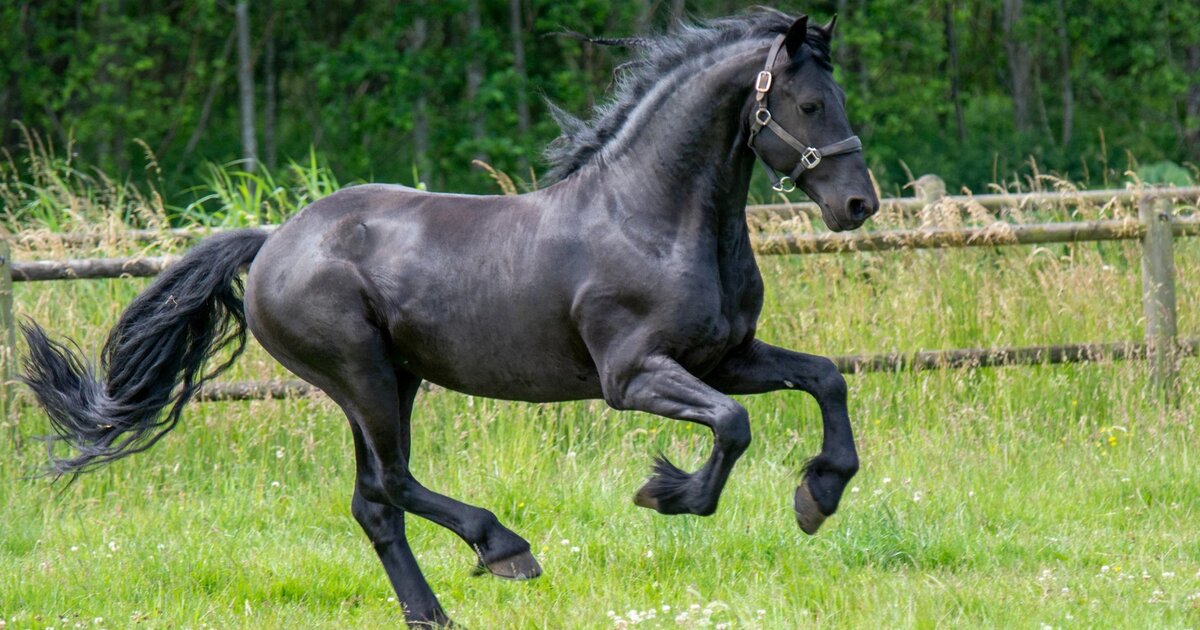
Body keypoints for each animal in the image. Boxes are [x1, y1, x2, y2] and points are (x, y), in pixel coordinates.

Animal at [22, 10, 878, 627]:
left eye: (837, 99)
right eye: (808, 103)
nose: (857, 205)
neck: (652, 218)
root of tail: (273, 242)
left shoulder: (726, 356)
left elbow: (825, 380)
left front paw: (819, 495)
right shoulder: (633, 375)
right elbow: (733, 424)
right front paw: (668, 493)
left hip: (393, 381)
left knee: (374, 503)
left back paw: (432, 614)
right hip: (362, 377)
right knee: (394, 483)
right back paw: (505, 548)